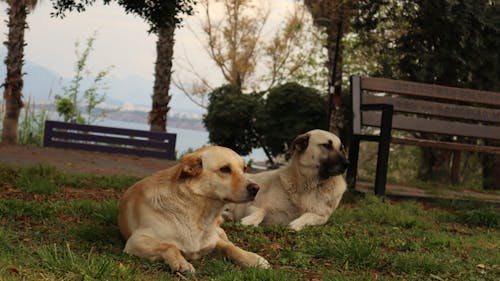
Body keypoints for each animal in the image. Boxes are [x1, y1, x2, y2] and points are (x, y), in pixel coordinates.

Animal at [117, 145, 270, 272]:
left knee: (228, 241)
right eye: (225, 169)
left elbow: (230, 247)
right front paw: (181, 263)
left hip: (219, 231)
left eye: (244, 169)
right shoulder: (136, 240)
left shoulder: (214, 241)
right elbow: (169, 246)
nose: (256, 188)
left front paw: (252, 259)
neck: (199, 214)